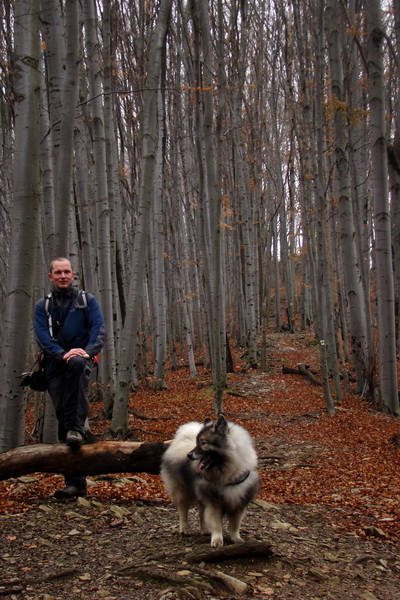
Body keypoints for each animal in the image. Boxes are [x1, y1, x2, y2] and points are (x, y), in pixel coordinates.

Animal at [162, 414, 260, 548]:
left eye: (203, 443)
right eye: (197, 442)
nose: (189, 455)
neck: (230, 471)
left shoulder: (239, 502)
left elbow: (235, 525)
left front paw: (236, 538)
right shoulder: (214, 502)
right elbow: (216, 523)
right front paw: (217, 540)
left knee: (202, 513)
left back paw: (204, 530)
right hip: (182, 491)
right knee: (183, 510)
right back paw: (185, 529)